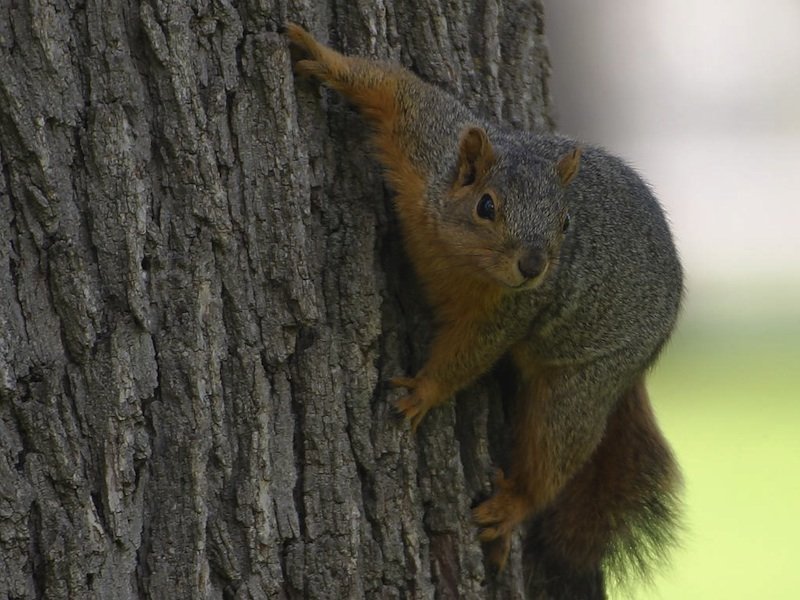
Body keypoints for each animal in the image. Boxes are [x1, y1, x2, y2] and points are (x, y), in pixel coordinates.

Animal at [287, 23, 683, 590]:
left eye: (565, 222)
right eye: (486, 205)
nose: (534, 265)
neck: (457, 255)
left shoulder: (511, 311)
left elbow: (471, 353)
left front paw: (424, 391)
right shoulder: (429, 143)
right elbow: (396, 89)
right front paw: (320, 56)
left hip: (583, 383)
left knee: (556, 452)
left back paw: (511, 507)